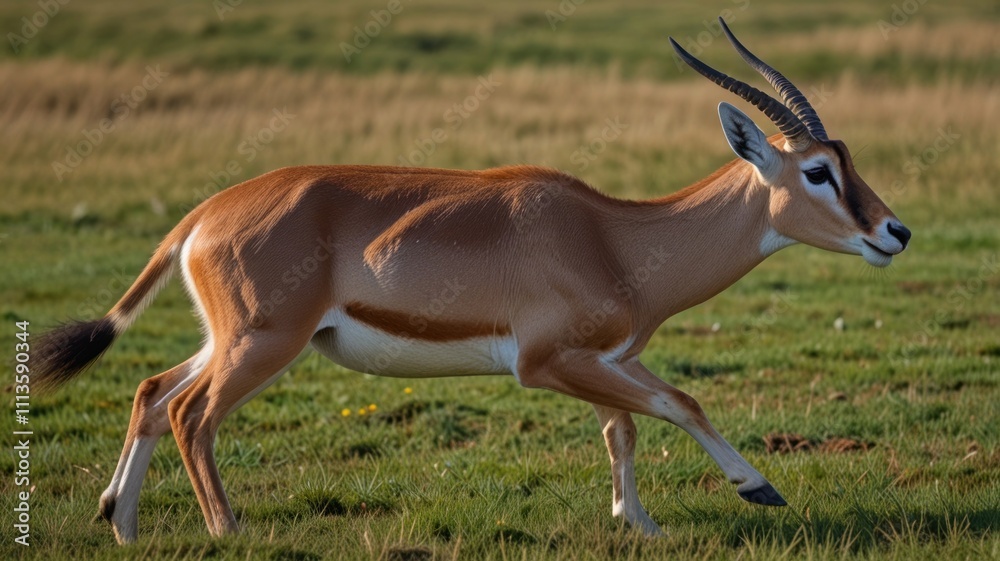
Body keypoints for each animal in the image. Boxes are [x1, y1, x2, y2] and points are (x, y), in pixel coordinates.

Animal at [32, 19, 910, 543]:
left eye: (849, 158)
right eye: (819, 170)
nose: (893, 232)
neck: (614, 236)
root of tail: (205, 211)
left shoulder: (605, 360)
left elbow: (624, 426)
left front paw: (639, 521)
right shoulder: (548, 363)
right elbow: (678, 401)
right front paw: (755, 486)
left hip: (234, 339)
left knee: (151, 390)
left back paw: (121, 522)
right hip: (262, 344)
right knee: (192, 413)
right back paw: (229, 531)